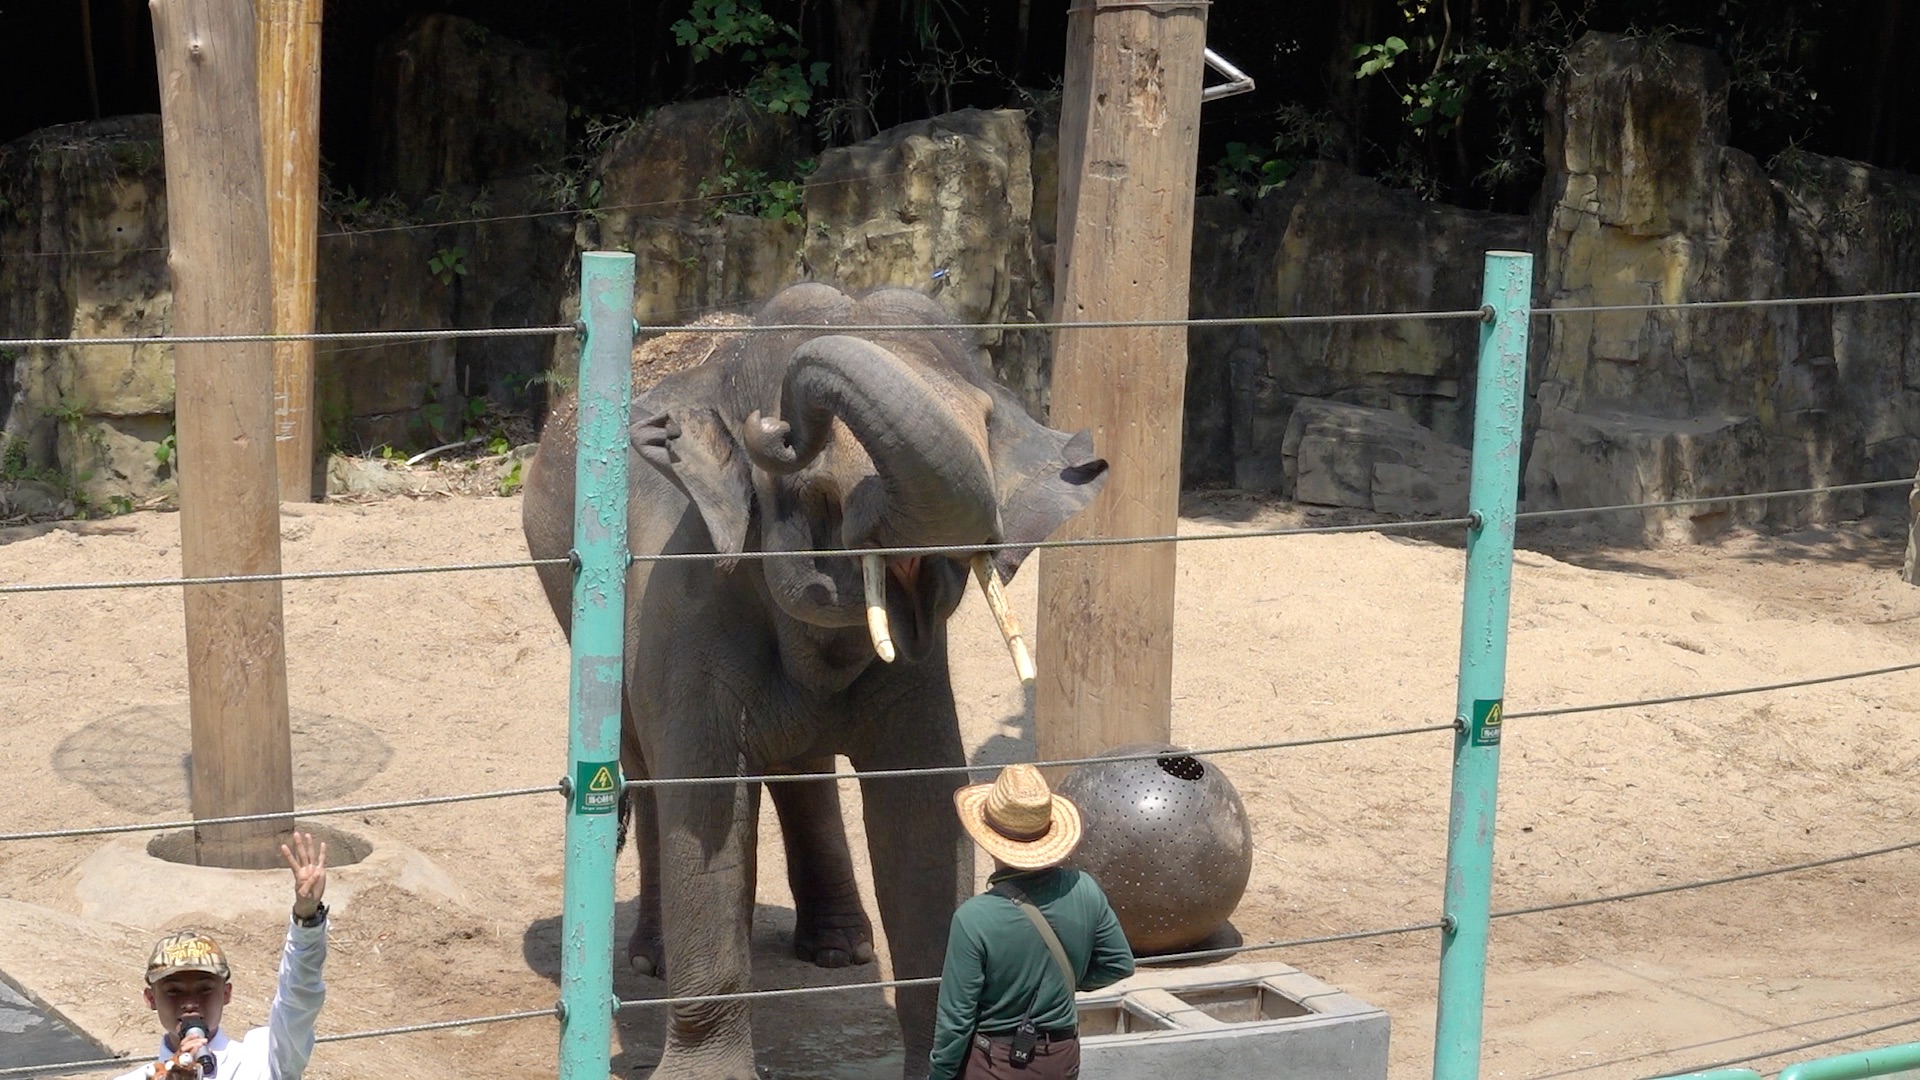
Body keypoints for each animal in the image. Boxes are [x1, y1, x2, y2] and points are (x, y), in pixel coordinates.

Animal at [522, 282, 1113, 1068]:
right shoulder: (684, 603)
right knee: (648, 768)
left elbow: (924, 812)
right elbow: (706, 811)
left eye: (988, 426)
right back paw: (655, 958)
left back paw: (840, 951)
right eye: (805, 479)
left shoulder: (921, 673)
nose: (775, 426)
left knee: (799, 767)